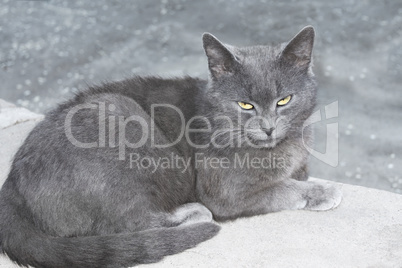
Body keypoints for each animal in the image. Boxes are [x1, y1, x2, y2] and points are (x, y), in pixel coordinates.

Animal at [0, 25, 342, 268]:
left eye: (284, 100)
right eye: (245, 105)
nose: (268, 127)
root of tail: (12, 183)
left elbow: (296, 176)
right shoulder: (225, 192)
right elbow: (282, 188)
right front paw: (324, 191)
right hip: (122, 118)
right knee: (126, 223)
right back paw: (192, 213)